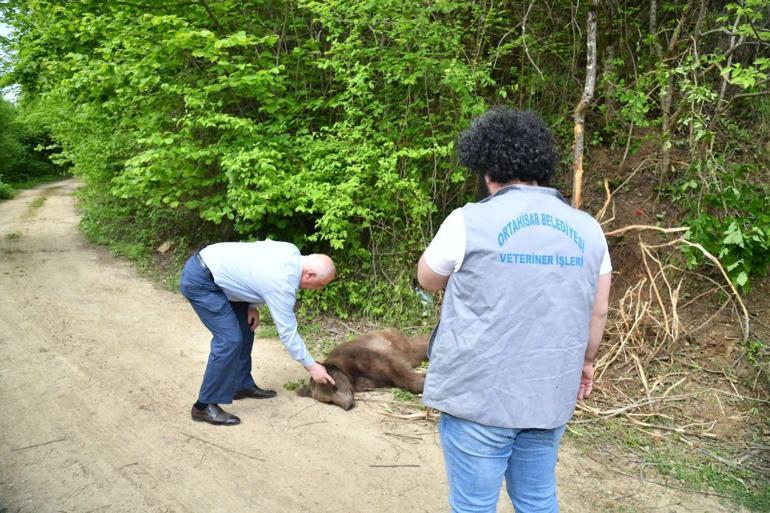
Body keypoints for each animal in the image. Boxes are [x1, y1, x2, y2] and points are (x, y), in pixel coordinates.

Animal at [296, 330, 428, 410]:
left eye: (334, 387)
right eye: (329, 401)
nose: (348, 405)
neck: (348, 373)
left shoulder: (361, 356)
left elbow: (396, 370)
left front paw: (422, 382)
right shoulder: (362, 381)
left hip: (398, 344)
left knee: (418, 348)